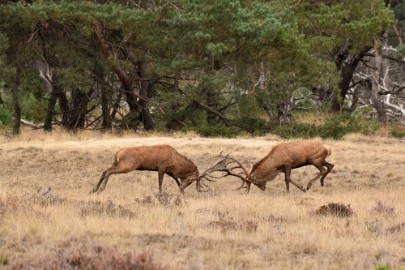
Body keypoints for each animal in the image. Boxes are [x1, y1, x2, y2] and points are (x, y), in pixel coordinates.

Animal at [90, 144, 232, 195]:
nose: (184, 189)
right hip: (127, 166)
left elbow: (176, 180)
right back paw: (101, 189)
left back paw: (94, 189)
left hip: (117, 163)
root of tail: (118, 152)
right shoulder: (162, 167)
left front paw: (181, 191)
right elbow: (160, 182)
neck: (175, 161)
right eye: (192, 180)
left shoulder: (169, 171)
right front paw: (160, 194)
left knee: (105, 170)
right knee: (108, 171)